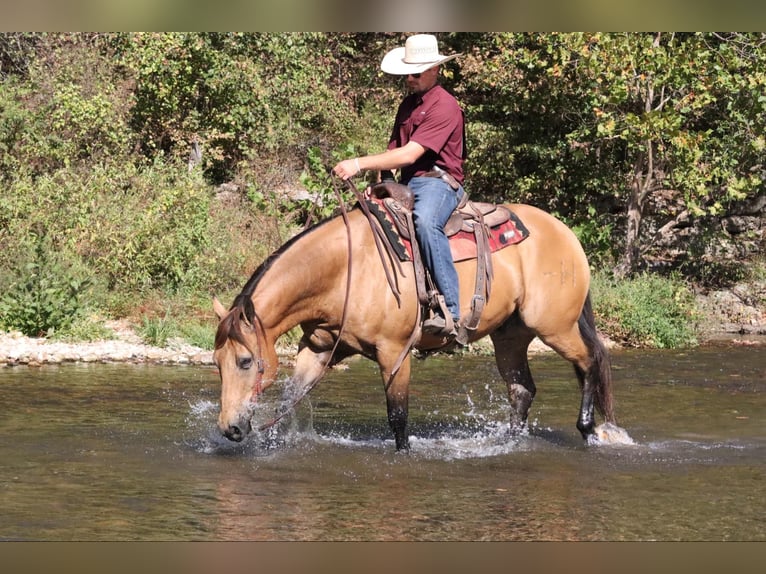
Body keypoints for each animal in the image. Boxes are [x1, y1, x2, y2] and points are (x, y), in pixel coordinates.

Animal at [213, 187, 620, 452]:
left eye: (245, 360)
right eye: (217, 362)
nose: (229, 428)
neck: (345, 270)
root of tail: (566, 233)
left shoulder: (394, 352)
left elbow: (398, 417)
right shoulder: (319, 348)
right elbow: (287, 402)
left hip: (555, 326)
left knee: (590, 361)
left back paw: (588, 430)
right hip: (511, 336)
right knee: (522, 390)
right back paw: (510, 441)